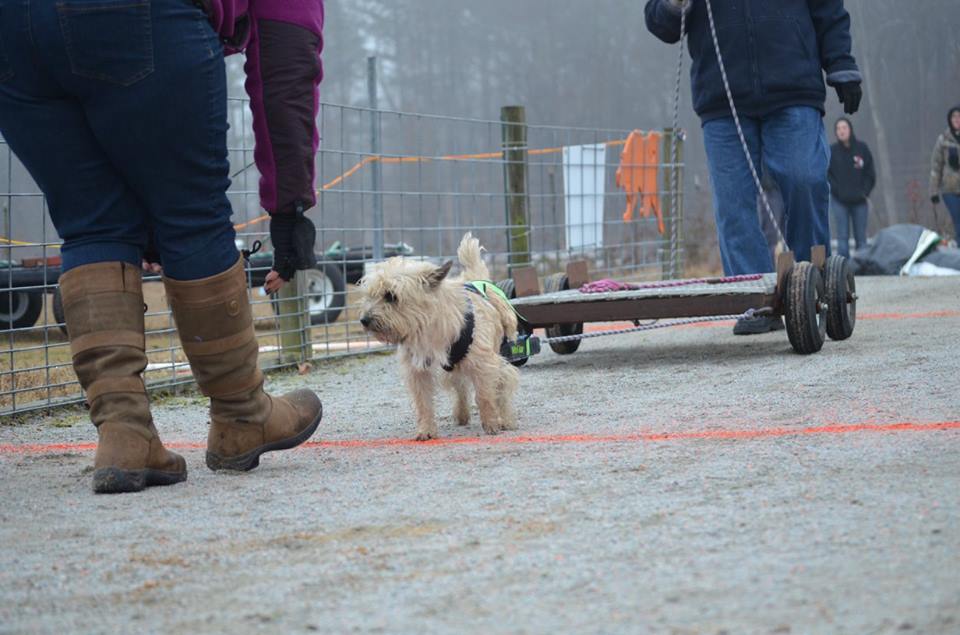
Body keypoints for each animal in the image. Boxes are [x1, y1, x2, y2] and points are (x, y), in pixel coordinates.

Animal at [358, 235, 516, 442]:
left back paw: (505, 419)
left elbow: (485, 396)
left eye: (391, 296)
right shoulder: (418, 372)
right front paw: (426, 430)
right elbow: (423, 403)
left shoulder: (484, 364)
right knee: (460, 387)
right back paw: (462, 414)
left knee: (503, 384)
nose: (364, 320)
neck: (426, 329)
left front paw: (491, 423)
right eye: (370, 295)